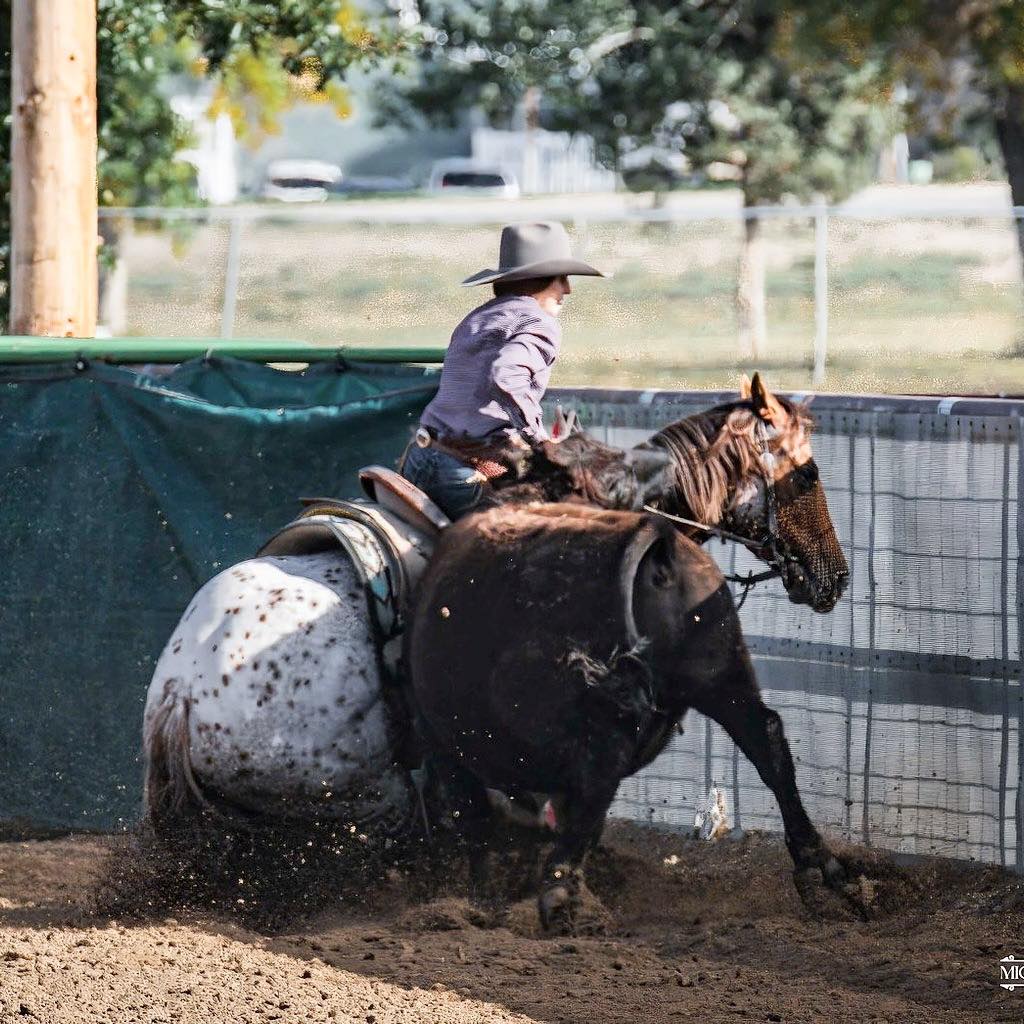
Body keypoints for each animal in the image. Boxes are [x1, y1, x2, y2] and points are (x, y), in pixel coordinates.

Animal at [407, 378, 859, 932]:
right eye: (809, 473)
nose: (835, 576)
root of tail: (655, 541)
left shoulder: (448, 745)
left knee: (597, 778)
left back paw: (560, 898)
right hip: (720, 673)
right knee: (765, 739)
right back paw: (824, 874)